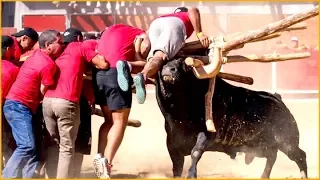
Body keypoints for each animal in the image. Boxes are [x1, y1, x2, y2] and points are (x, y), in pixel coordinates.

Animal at [155, 57, 308, 178]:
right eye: (163, 63)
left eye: (185, 65)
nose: (169, 70)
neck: (179, 114)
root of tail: (278, 99)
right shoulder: (172, 143)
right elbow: (177, 166)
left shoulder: (207, 134)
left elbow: (195, 152)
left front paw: (191, 175)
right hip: (260, 146)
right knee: (272, 156)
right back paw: (264, 176)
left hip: (287, 142)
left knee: (300, 156)